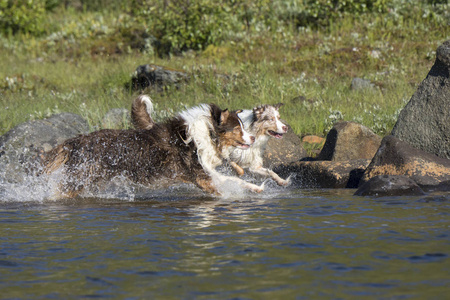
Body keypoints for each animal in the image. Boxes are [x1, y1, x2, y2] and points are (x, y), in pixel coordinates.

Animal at [43, 99, 260, 199]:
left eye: (243, 127)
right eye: (238, 129)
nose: (253, 137)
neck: (207, 132)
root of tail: (74, 141)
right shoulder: (200, 174)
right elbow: (229, 181)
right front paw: (254, 188)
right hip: (80, 177)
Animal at [132, 96, 290, 186]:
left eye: (279, 117)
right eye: (271, 119)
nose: (286, 127)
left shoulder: (253, 165)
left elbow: (270, 172)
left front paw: (282, 181)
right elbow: (231, 165)